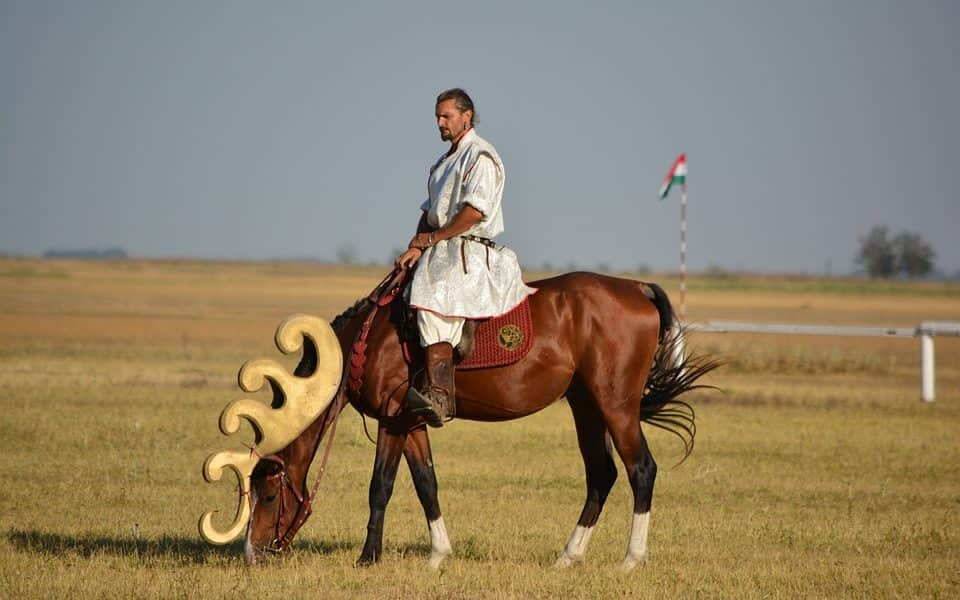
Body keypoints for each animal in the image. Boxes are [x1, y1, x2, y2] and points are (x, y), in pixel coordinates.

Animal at [244, 270, 716, 568]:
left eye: (267, 496)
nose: (252, 554)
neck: (369, 339)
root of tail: (636, 287)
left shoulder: (391, 421)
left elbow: (381, 487)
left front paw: (368, 557)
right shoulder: (413, 423)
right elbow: (426, 483)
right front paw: (438, 555)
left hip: (616, 406)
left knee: (641, 470)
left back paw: (631, 560)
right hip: (586, 406)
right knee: (601, 475)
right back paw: (568, 557)